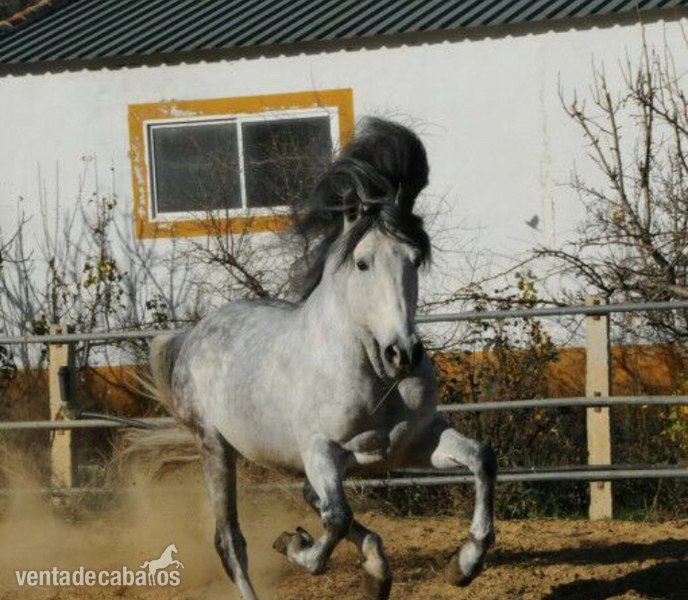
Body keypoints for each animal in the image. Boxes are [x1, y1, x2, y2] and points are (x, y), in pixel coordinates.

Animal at [144, 118, 497, 600]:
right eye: (363, 263)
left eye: (414, 258)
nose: (402, 353)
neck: (373, 376)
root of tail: (193, 335)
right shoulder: (321, 452)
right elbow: (335, 519)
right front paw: (296, 546)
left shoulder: (418, 441)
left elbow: (481, 459)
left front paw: (463, 565)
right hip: (215, 446)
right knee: (231, 540)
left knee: (314, 503)